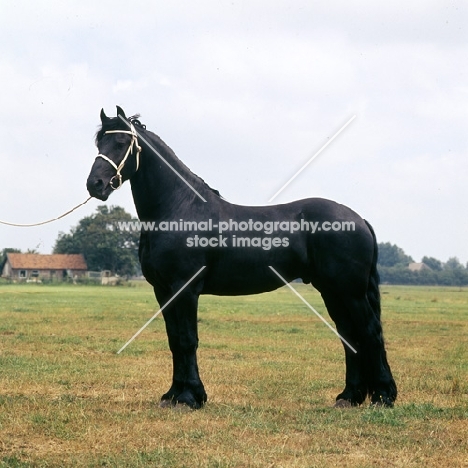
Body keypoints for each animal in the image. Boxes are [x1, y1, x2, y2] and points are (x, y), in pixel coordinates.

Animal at [86, 107, 396, 410]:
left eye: (121, 143)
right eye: (99, 144)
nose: (95, 184)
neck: (179, 209)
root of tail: (358, 219)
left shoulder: (185, 289)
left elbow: (187, 340)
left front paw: (190, 398)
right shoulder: (163, 291)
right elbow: (174, 341)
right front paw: (173, 395)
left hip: (350, 292)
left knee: (370, 332)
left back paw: (383, 396)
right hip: (333, 291)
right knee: (349, 336)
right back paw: (350, 397)